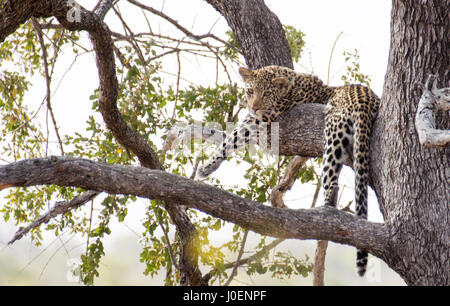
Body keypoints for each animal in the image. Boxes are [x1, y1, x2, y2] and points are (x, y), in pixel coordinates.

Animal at [200, 64, 380, 274]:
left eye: (266, 93)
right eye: (250, 91)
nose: (254, 106)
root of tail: (366, 98)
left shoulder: (265, 117)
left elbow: (233, 137)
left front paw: (207, 165)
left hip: (334, 133)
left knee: (331, 180)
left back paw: (325, 213)